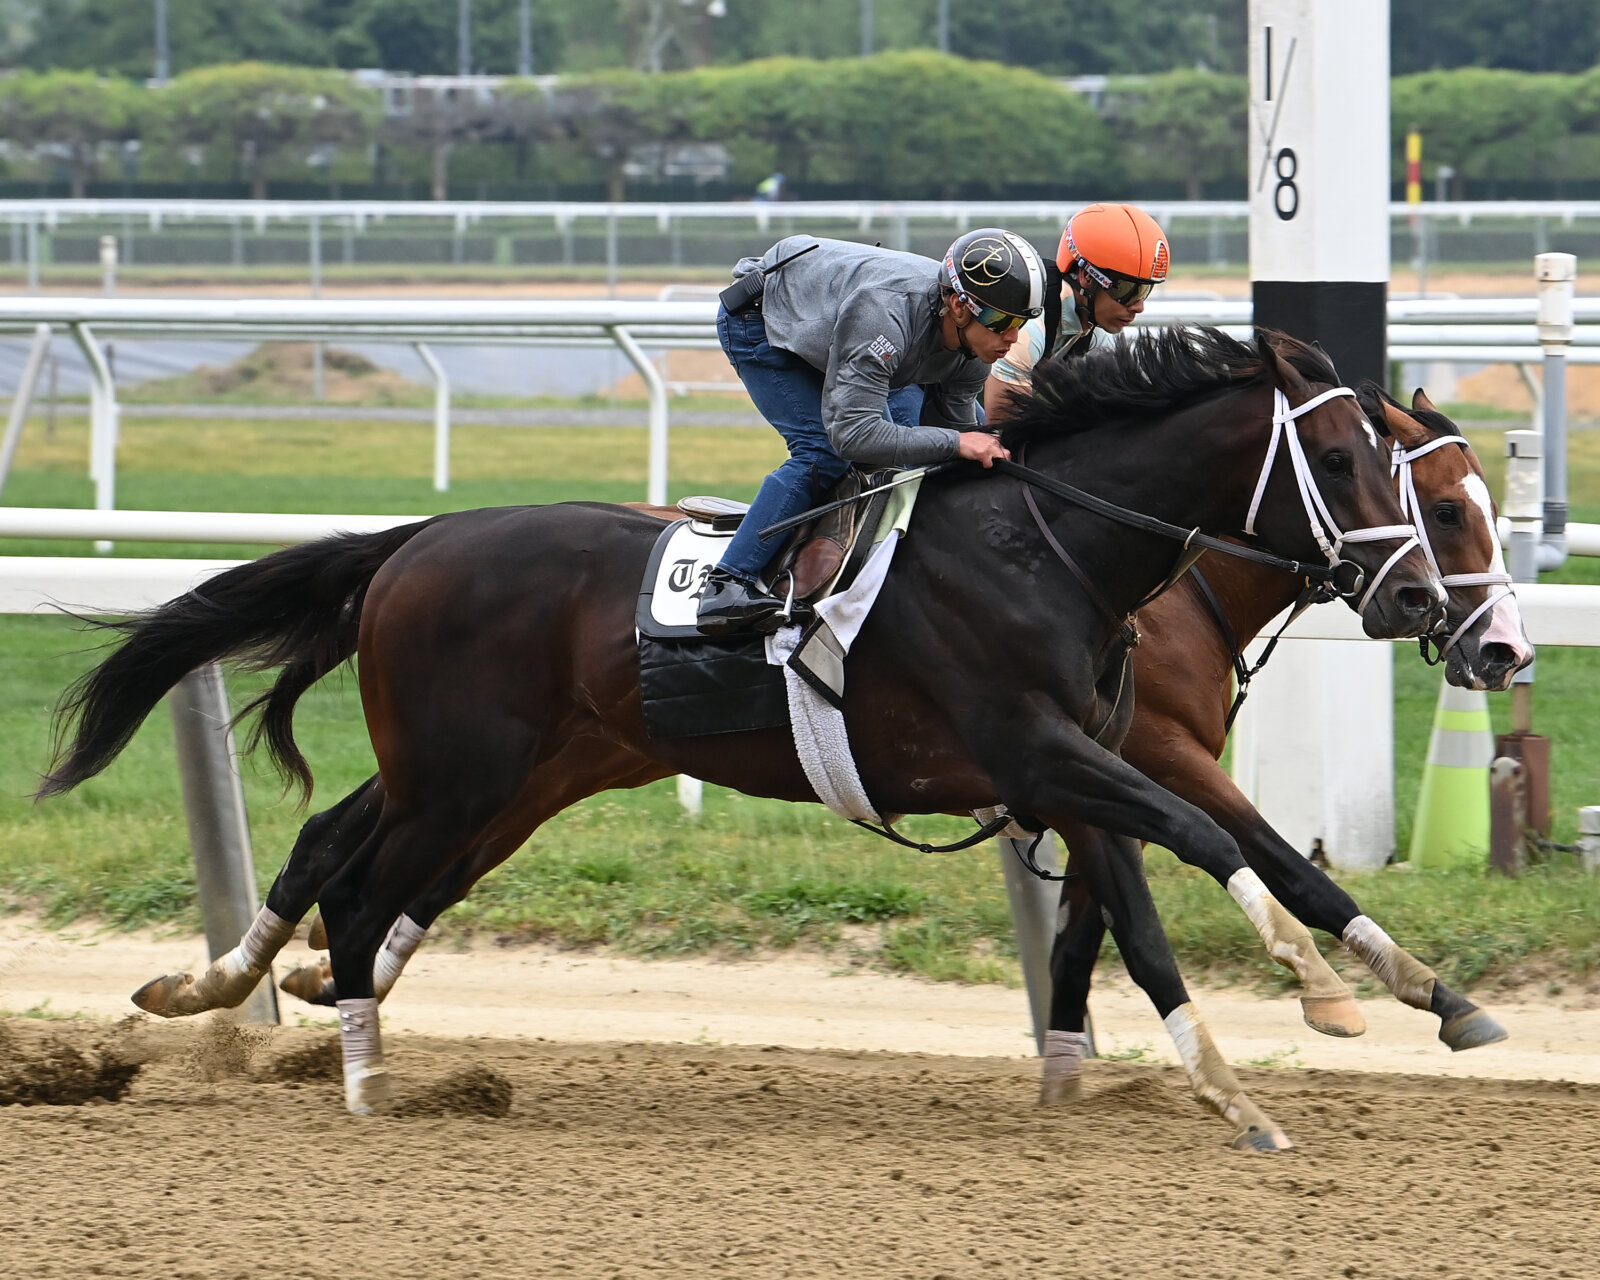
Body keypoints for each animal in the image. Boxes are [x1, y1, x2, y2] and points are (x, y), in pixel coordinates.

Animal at [37, 324, 1446, 1145]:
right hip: (462, 773)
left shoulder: (1072, 770)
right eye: (1340, 455)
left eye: (1400, 460)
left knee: (347, 852)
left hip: (503, 770)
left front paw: (1237, 1084)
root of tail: (414, 542)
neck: (1045, 545)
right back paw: (361, 1073)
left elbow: (1145, 919)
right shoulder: (1042, 750)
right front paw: (1322, 984)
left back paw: (238, 992)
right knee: (360, 882)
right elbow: (1208, 831)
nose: (1424, 603)